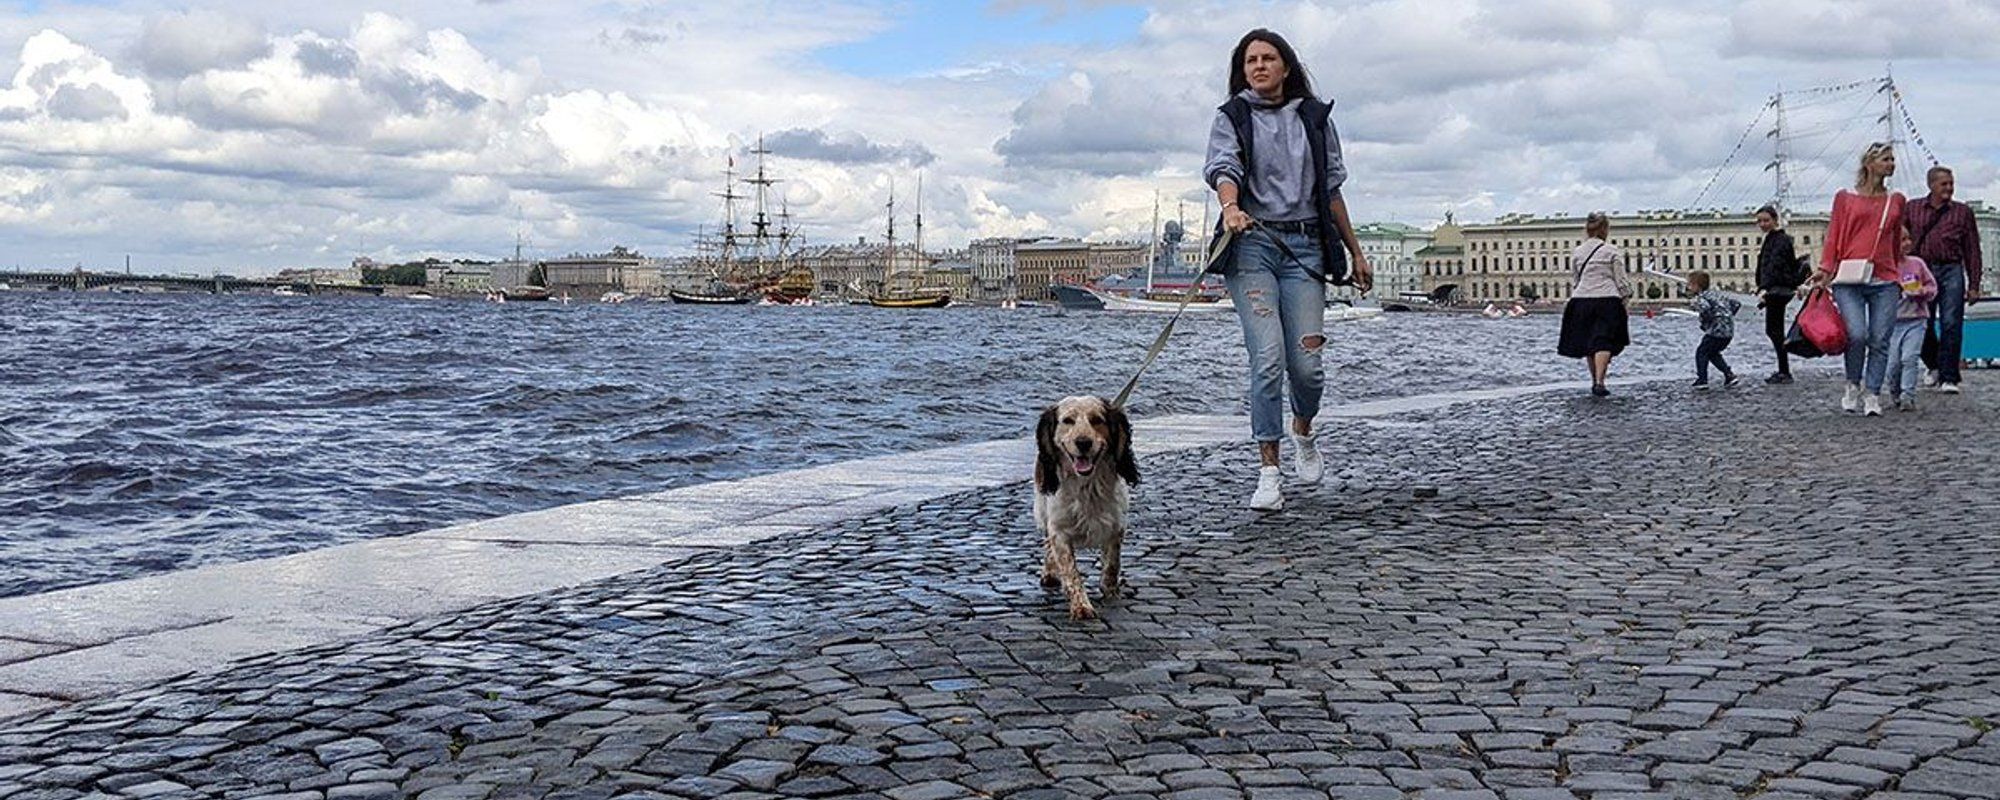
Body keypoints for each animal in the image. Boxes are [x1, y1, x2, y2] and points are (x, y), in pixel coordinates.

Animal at [1032, 394, 1144, 620]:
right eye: (1067, 421)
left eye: (1096, 420)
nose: (1083, 442)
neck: (1087, 486)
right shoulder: (1059, 530)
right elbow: (1071, 570)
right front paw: (1081, 607)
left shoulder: (1116, 526)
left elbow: (1112, 565)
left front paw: (1111, 593)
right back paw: (1050, 573)